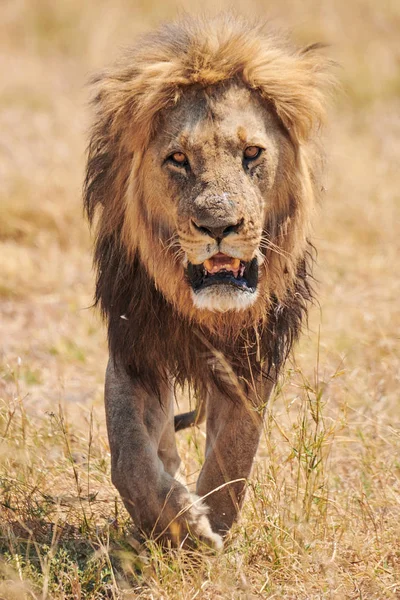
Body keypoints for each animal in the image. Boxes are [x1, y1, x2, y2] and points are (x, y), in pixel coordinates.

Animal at [83, 14, 332, 552]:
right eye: (178, 159)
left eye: (252, 153)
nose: (219, 226)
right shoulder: (134, 345)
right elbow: (129, 456)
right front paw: (179, 526)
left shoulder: (252, 358)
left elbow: (234, 453)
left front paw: (210, 525)